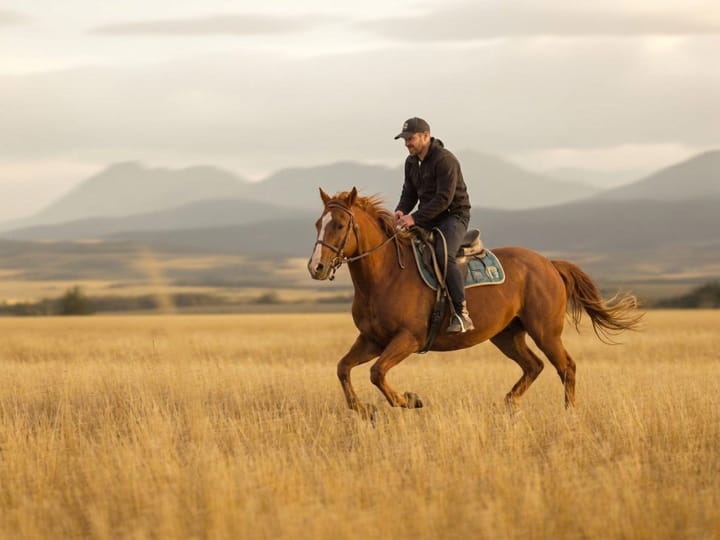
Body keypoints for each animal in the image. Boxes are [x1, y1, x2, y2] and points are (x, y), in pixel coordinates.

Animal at [308, 187, 641, 420]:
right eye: (317, 224)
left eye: (340, 225)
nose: (316, 268)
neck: (387, 274)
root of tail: (549, 264)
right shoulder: (372, 339)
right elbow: (343, 368)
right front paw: (365, 410)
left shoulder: (408, 340)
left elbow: (376, 373)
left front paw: (409, 399)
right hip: (507, 335)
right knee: (534, 366)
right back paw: (510, 404)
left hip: (545, 332)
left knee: (566, 367)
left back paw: (569, 414)